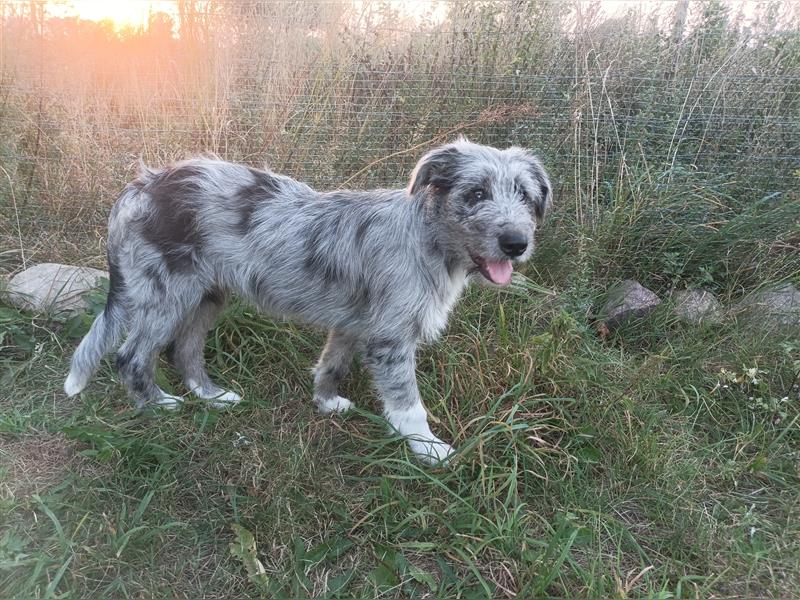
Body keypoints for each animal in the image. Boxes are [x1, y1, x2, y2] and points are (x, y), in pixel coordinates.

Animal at [64, 139, 552, 464]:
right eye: (476, 194)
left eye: (525, 196)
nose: (516, 243)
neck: (427, 239)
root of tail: (142, 185)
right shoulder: (391, 339)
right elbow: (408, 403)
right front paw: (429, 448)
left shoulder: (355, 323)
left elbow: (332, 363)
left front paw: (326, 403)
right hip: (166, 293)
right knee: (131, 355)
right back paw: (158, 407)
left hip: (208, 294)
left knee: (183, 348)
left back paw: (211, 395)